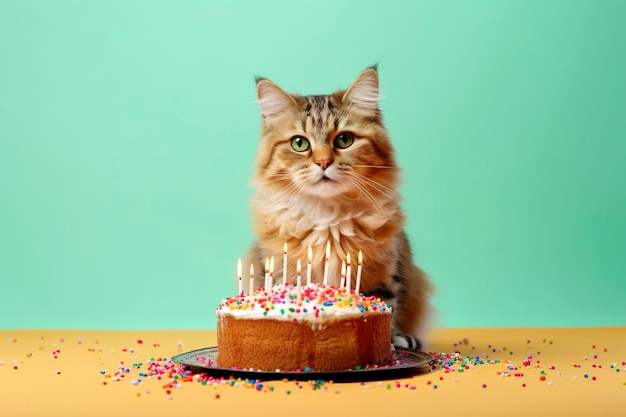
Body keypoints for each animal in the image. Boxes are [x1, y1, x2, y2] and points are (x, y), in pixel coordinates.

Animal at [241, 66, 432, 350]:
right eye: (299, 144)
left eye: (344, 140)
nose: (323, 162)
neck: (327, 217)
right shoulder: (280, 270)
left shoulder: (383, 273)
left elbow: (387, 308)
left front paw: (390, 343)